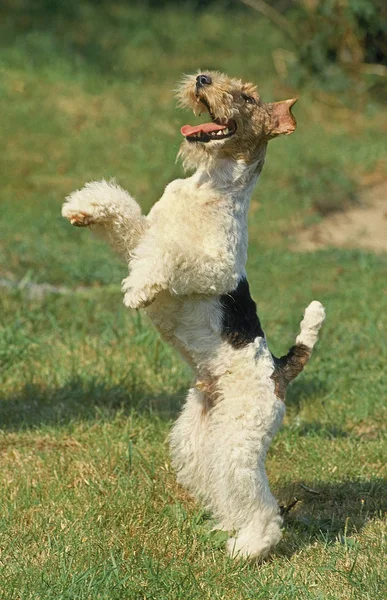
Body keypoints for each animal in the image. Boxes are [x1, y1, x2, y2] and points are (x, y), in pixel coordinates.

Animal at [62, 71, 326, 564]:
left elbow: (171, 255)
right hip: (200, 438)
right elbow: (129, 218)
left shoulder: (216, 265)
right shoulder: (145, 233)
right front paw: (83, 208)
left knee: (261, 505)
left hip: (240, 438)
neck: (210, 186)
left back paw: (247, 548)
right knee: (224, 489)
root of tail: (279, 369)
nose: (202, 79)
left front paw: (140, 289)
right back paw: (227, 528)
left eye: (248, 98)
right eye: (224, 79)